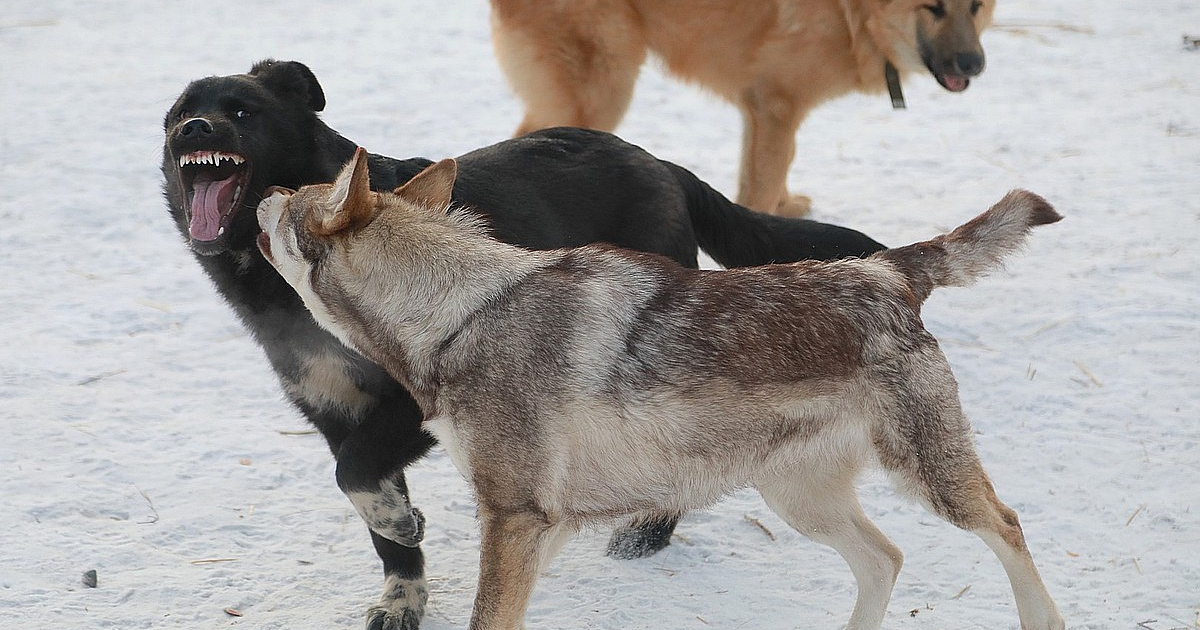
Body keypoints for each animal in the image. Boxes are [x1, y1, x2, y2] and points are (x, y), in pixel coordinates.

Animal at [162, 58, 883, 628]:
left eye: (241, 110)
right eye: (178, 115)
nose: (194, 129)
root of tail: (658, 162)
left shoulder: (413, 408)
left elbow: (358, 475)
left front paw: (401, 522)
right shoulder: (333, 411)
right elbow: (370, 503)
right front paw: (401, 588)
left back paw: (648, 531)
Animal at [260, 148, 1060, 628]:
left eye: (294, 197)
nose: (265, 189)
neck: (460, 314)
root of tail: (885, 269)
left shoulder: (515, 518)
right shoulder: (544, 525)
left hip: (929, 479)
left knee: (1009, 525)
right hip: (800, 499)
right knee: (885, 559)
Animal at [487, 0, 993, 216]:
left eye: (975, 5)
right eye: (932, 6)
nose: (974, 64)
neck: (853, 12)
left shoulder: (765, 109)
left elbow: (773, 169)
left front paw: (787, 207)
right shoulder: (777, 103)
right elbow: (763, 183)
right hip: (601, 90)